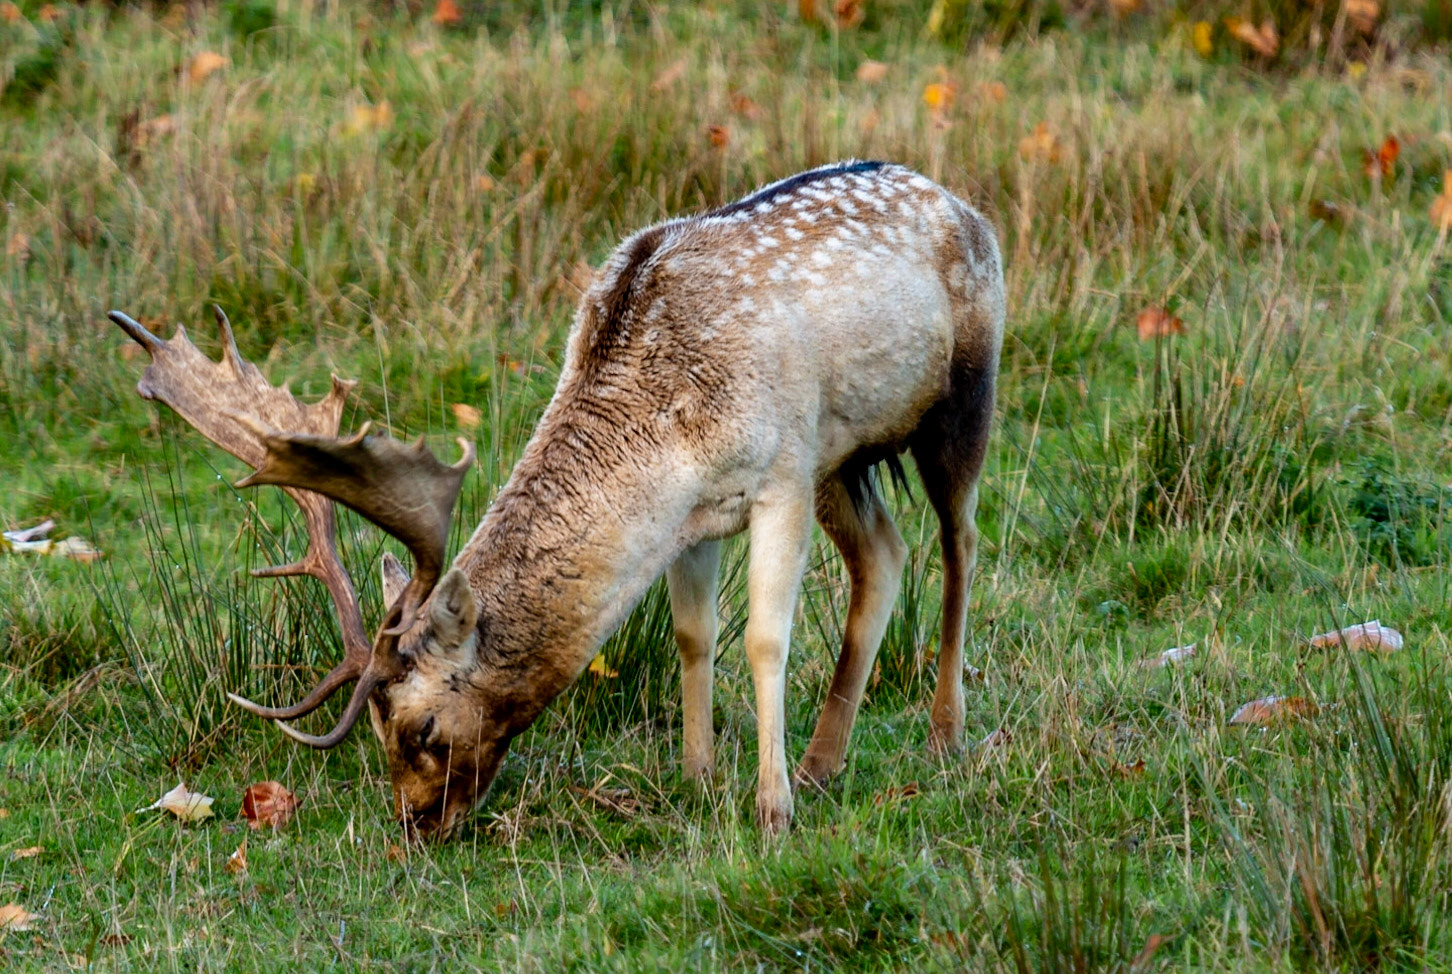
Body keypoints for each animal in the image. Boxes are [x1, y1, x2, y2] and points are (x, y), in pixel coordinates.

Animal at [110, 160, 1004, 839]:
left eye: (421, 727)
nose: (415, 822)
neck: (671, 427)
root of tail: (959, 201)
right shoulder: (698, 517)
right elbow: (693, 636)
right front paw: (699, 776)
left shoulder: (782, 466)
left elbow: (763, 639)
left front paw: (770, 810)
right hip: (843, 458)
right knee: (884, 553)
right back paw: (825, 763)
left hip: (964, 392)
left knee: (959, 543)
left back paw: (944, 734)